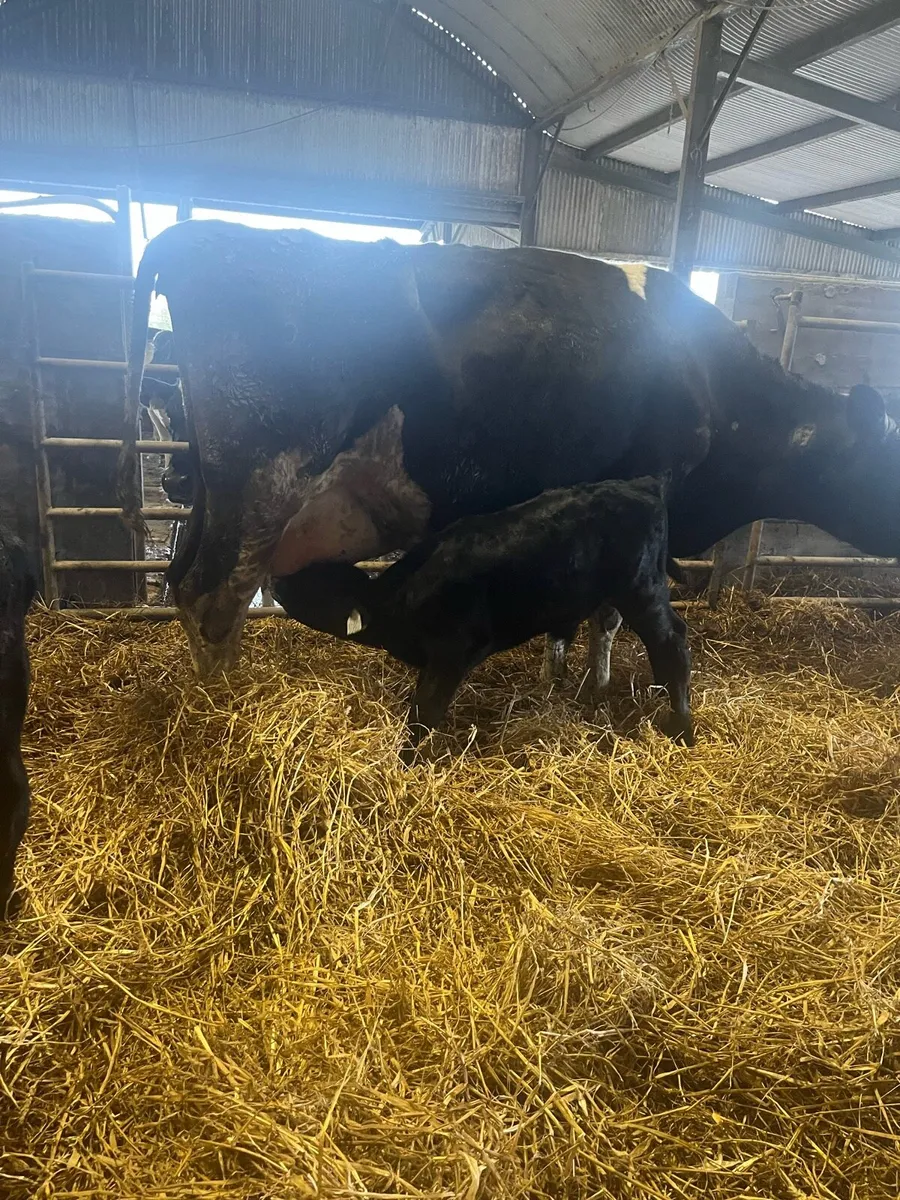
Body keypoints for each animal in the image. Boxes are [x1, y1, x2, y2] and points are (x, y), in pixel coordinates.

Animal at [119, 221, 900, 680]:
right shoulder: (647, 490)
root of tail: (197, 231)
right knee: (210, 595)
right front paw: (594, 689)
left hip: (216, 491)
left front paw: (561, 673)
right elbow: (612, 608)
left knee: (185, 578)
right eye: (881, 462)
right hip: (263, 482)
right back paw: (225, 710)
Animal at [273, 477, 692, 756]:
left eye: (315, 586)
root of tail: (640, 486)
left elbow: (425, 712)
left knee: (671, 641)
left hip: (640, 587)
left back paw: (682, 728)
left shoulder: (453, 653)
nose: (277, 579)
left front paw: (407, 760)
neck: (401, 601)